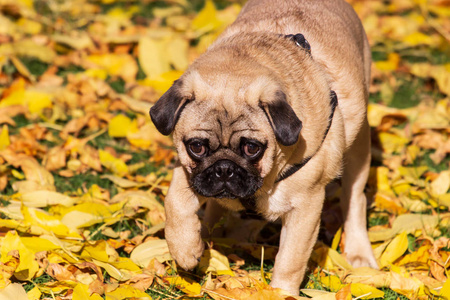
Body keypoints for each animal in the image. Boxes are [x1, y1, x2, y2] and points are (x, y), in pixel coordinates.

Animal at [149, 0, 378, 296]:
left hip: (359, 147)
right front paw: (186, 251)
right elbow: (175, 204)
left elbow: (290, 260)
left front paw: (282, 293)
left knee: (355, 198)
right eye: (197, 147)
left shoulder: (306, 207)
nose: (224, 168)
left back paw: (359, 252)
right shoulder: (188, 171)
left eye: (252, 149)